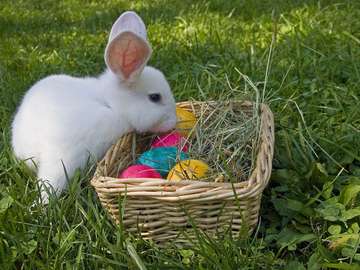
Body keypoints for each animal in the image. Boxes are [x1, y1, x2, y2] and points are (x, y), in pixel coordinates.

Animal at [11, 11, 178, 204]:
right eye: (155, 97)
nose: (175, 121)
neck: (111, 106)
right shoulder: (64, 156)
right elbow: (52, 180)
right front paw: (42, 205)